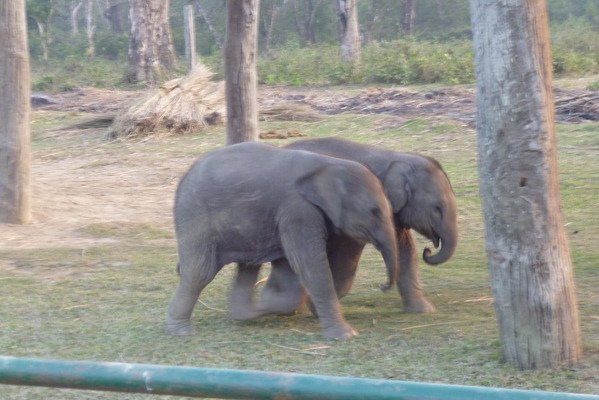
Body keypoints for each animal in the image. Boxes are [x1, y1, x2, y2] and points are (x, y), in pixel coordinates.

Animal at [164, 142, 400, 340]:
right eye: (374, 212)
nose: (383, 286)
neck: (330, 165)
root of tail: (184, 176)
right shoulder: (297, 211)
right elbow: (308, 264)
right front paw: (346, 335)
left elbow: (289, 268)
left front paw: (270, 305)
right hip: (195, 217)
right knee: (200, 272)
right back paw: (182, 331)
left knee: (248, 266)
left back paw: (244, 314)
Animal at [232, 137, 458, 316]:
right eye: (437, 208)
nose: (428, 251)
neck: (393, 157)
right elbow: (347, 255)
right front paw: (317, 307)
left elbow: (405, 250)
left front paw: (423, 311)